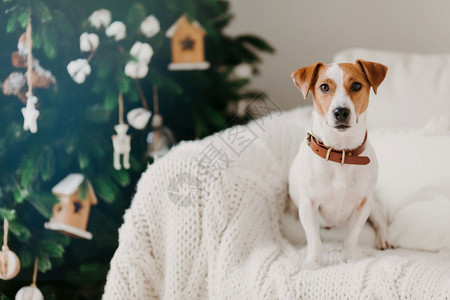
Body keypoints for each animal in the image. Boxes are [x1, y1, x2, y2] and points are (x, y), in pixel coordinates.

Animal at [288, 59, 390, 268]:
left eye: (357, 85)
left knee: (380, 221)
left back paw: (383, 239)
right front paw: (313, 262)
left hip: (374, 205)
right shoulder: (308, 205)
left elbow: (352, 236)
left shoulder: (363, 204)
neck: (341, 153)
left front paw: (351, 258)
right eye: (324, 87)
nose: (341, 111)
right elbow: (314, 238)